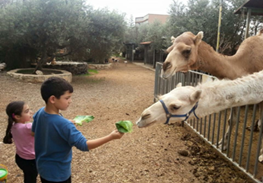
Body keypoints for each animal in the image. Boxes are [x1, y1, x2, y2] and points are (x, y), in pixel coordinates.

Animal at [162, 30, 263, 162]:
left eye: (187, 50)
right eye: (168, 50)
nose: (165, 68)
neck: (245, 65)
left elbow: (262, 125)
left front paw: (261, 155)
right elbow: (232, 120)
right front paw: (221, 145)